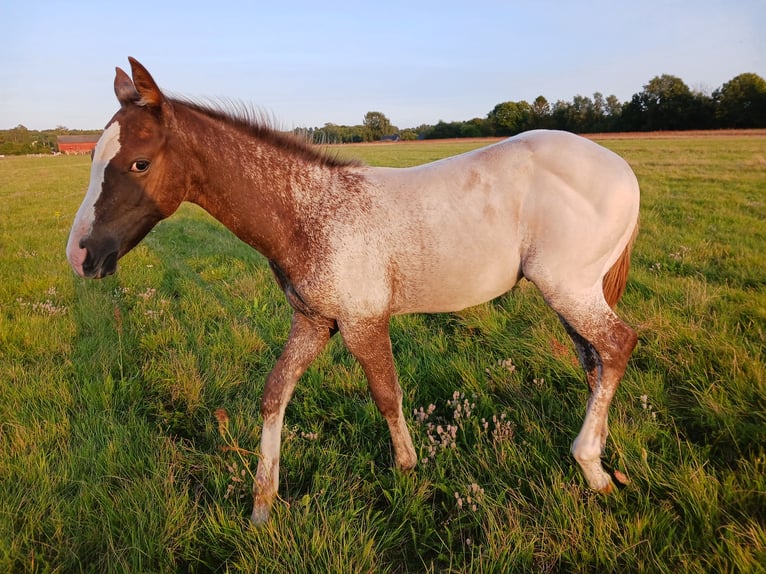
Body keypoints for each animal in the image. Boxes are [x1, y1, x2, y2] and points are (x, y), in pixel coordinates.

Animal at [67, 59, 640, 528]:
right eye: (92, 157)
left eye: (140, 163)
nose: (80, 255)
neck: (308, 213)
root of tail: (622, 170)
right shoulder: (313, 322)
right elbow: (274, 394)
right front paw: (261, 507)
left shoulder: (364, 321)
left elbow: (387, 394)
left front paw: (409, 472)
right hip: (571, 296)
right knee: (595, 359)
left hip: (568, 289)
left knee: (616, 346)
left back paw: (591, 466)